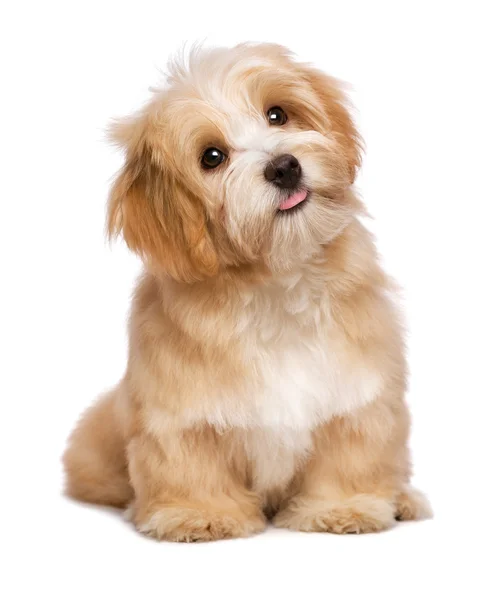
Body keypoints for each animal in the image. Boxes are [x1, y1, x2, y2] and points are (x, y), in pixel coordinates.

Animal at [64, 41, 432, 540]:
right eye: (212, 157)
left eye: (277, 114)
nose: (284, 166)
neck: (276, 283)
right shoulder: (179, 411)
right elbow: (189, 461)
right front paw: (200, 514)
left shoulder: (357, 393)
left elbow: (350, 453)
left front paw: (343, 507)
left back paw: (403, 500)